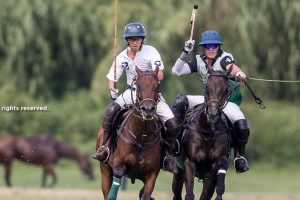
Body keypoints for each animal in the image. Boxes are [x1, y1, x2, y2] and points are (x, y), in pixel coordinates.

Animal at [97, 67, 162, 200]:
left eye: (157, 86)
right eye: (138, 86)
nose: (148, 109)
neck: (141, 138)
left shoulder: (152, 174)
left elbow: (146, 195)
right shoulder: (118, 164)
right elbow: (117, 177)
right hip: (104, 171)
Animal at [171, 70, 232, 200]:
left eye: (225, 90)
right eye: (207, 86)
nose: (212, 114)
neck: (207, 132)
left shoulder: (213, 170)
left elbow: (206, 195)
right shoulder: (189, 163)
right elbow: (189, 194)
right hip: (178, 171)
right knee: (176, 194)